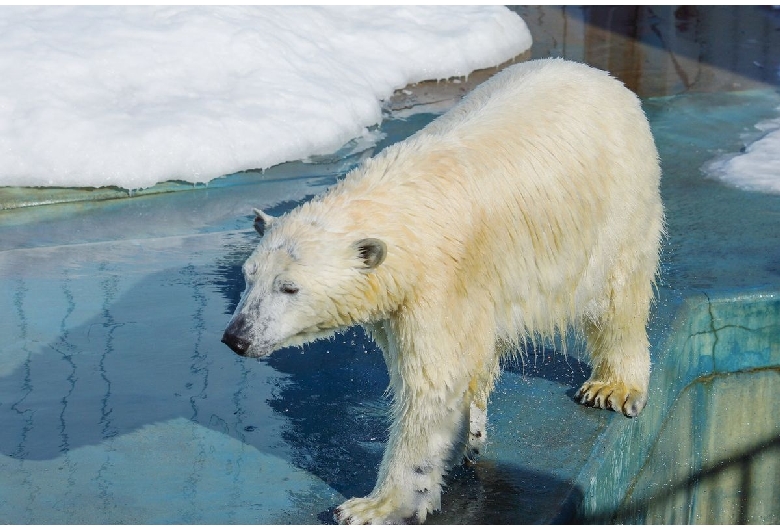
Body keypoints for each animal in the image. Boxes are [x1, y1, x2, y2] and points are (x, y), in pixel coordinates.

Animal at [221, 59, 664, 520]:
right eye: (249, 275)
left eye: (289, 288)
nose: (237, 336)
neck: (402, 209)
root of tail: (602, 77)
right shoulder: (407, 300)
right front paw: (458, 445)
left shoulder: (438, 281)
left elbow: (431, 385)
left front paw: (373, 507)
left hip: (617, 208)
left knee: (617, 298)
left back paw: (613, 388)